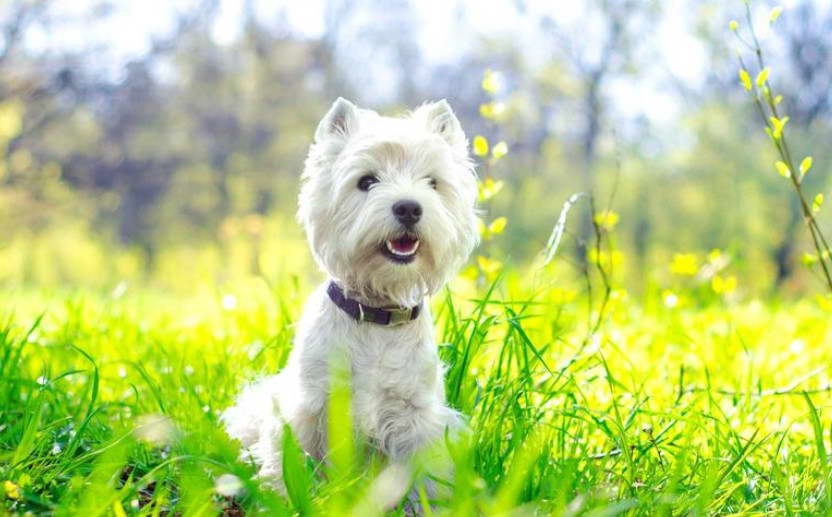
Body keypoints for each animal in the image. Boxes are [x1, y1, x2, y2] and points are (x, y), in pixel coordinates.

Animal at [223, 97, 480, 496]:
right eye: (367, 181)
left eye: (432, 183)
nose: (409, 207)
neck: (377, 314)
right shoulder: (309, 406)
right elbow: (291, 461)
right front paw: (284, 495)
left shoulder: (416, 415)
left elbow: (426, 476)